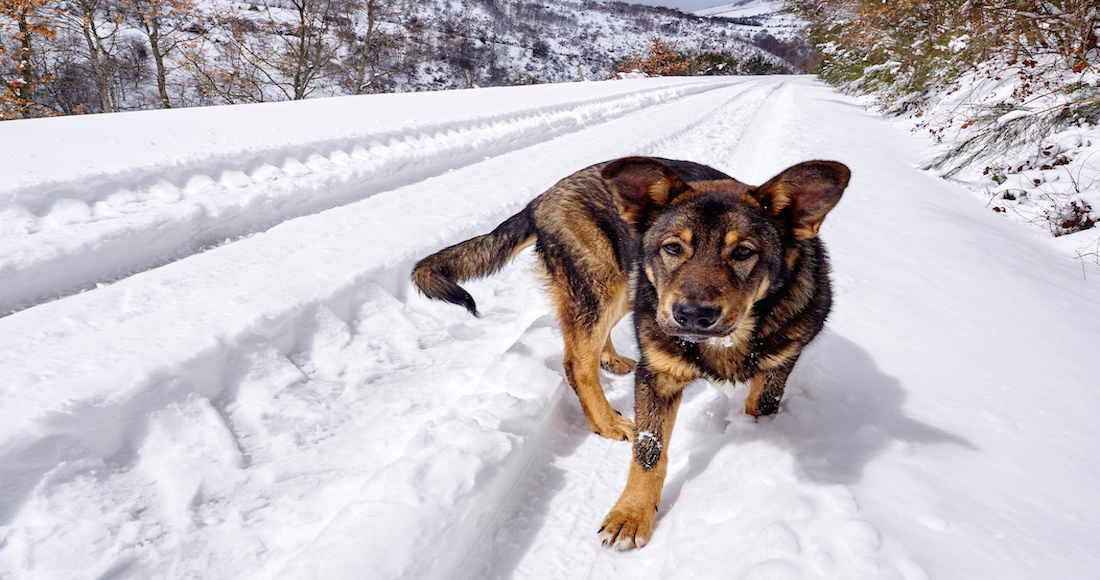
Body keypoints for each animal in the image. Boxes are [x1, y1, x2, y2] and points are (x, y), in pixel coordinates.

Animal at [412, 156, 849, 551]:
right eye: (673, 248)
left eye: (744, 253)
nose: (692, 315)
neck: (729, 339)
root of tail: (543, 196)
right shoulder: (658, 376)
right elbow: (648, 452)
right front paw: (631, 514)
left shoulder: (779, 365)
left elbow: (761, 406)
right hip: (602, 284)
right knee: (576, 361)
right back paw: (606, 421)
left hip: (624, 284)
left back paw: (611, 358)